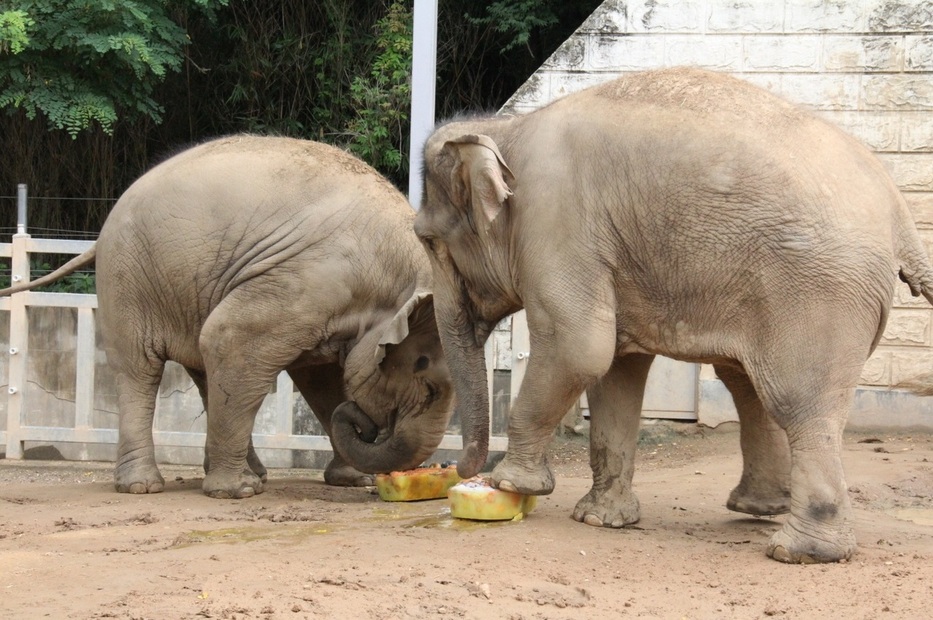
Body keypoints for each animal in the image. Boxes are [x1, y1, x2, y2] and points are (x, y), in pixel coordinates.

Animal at [2, 134, 456, 498]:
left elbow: (322, 378)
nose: (367, 424)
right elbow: (232, 338)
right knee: (141, 371)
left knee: (206, 368)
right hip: (128, 279)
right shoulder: (311, 283)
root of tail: (100, 234)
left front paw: (352, 480)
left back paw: (252, 474)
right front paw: (235, 494)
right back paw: (149, 486)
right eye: (427, 382)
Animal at [416, 66, 932, 560]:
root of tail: (899, 212)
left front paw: (511, 484)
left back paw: (798, 551)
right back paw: (758, 509)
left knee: (798, 403)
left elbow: (579, 348)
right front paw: (600, 520)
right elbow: (615, 369)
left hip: (819, 293)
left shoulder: (556, 225)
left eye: (428, 241)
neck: (506, 130)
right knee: (748, 385)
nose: (457, 470)